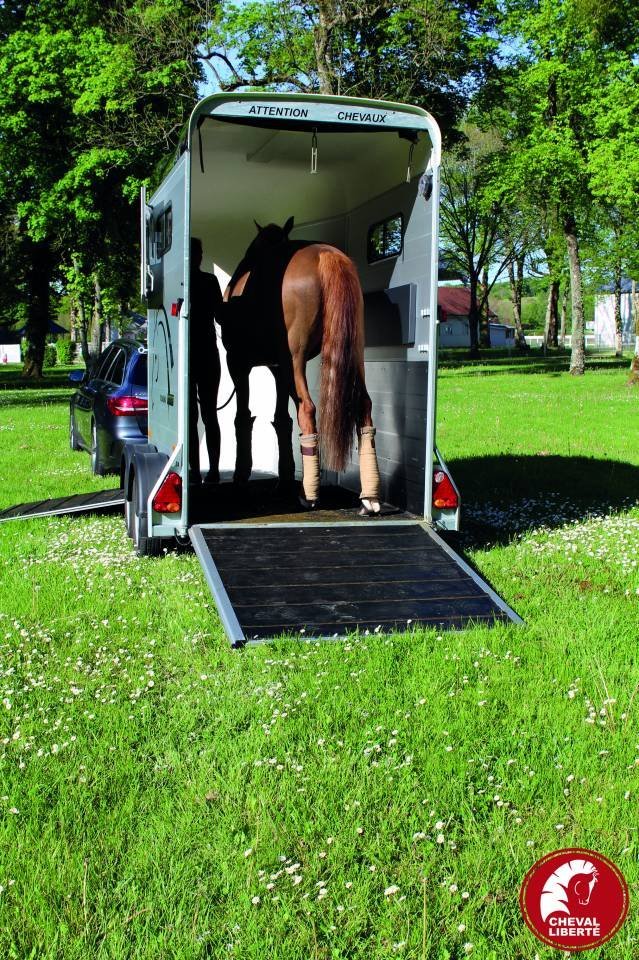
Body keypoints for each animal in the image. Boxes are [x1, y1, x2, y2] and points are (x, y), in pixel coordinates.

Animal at [220, 216, 382, 515]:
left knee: (307, 408)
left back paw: (309, 493)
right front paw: (283, 478)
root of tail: (325, 255)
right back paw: (369, 497)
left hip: (293, 360)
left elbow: (242, 418)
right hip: (353, 355)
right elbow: (281, 420)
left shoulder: (238, 363)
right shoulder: (277, 369)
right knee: (364, 405)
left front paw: (241, 477)